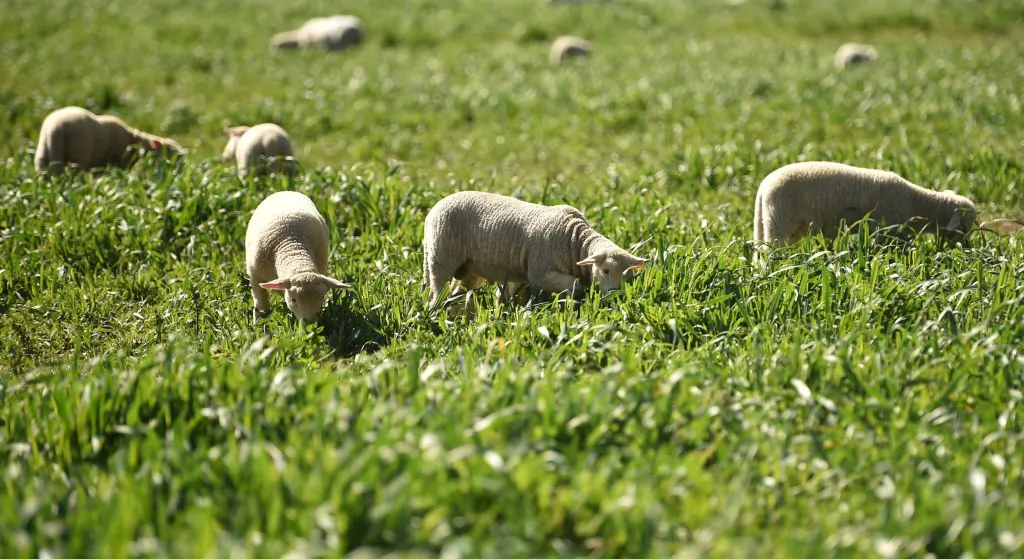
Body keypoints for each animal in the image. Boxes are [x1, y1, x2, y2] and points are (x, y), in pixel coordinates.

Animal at [34, 106, 183, 176]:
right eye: (170, 151)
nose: (180, 170)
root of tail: (53, 129)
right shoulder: (114, 161)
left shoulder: (98, 164)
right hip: (77, 153)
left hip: (44, 151)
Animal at [245, 191, 350, 322]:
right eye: (293, 300)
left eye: (321, 299)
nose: (310, 322)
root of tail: (286, 191)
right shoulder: (255, 275)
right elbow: (260, 304)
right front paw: (259, 321)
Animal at [422, 191, 647, 310]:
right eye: (606, 270)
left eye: (629, 276)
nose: (615, 294)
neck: (573, 242)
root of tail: (433, 210)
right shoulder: (540, 272)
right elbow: (574, 285)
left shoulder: (520, 274)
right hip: (441, 257)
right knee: (438, 290)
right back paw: (436, 311)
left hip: (469, 268)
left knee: (457, 294)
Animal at [752, 161, 977, 249]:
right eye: (965, 225)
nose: (967, 248)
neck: (916, 203)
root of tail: (763, 187)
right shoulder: (887, 228)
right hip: (780, 222)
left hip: (766, 222)